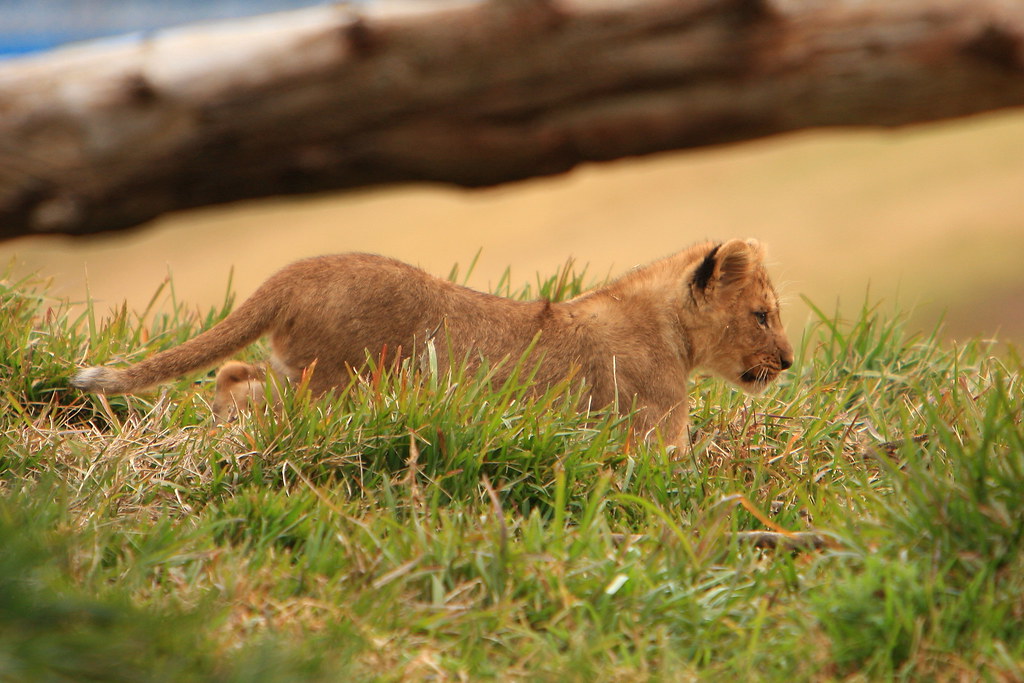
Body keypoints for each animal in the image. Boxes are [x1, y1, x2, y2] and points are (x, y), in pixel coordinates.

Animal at [72, 239, 794, 446]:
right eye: (762, 315)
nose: (789, 361)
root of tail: (297, 271)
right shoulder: (653, 437)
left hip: (304, 371)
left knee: (232, 375)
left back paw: (222, 425)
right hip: (340, 386)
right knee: (272, 406)